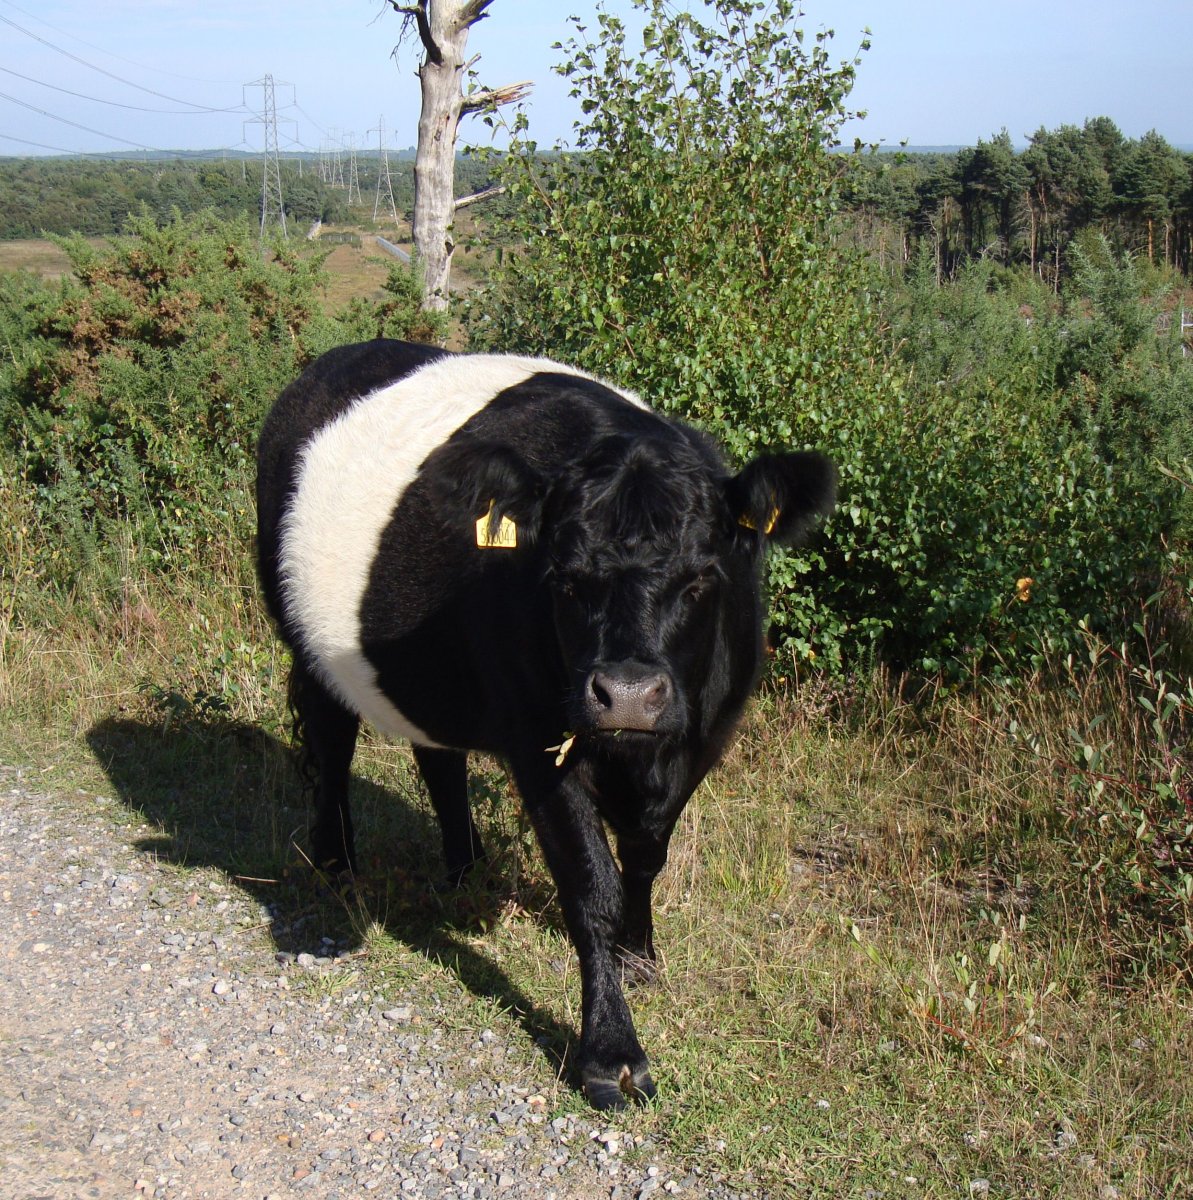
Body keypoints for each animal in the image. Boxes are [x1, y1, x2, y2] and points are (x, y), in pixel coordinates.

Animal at [256, 339, 835, 1110]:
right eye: (563, 578)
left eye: (701, 578)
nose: (626, 695)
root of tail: (338, 359)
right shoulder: (539, 745)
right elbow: (591, 887)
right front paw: (612, 1055)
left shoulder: (702, 737)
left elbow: (646, 855)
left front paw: (639, 954)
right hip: (304, 637)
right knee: (331, 745)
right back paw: (335, 871)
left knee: (437, 756)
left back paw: (464, 869)